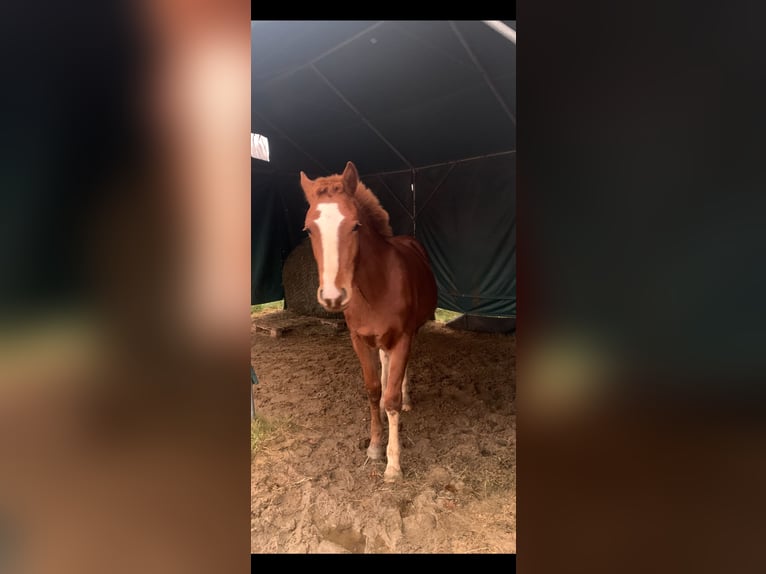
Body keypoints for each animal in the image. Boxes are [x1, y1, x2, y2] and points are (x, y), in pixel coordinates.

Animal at [304, 161, 440, 482]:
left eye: (355, 225)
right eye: (308, 229)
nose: (333, 296)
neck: (377, 287)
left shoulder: (403, 337)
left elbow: (390, 399)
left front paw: (393, 465)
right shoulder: (360, 340)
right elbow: (373, 390)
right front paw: (375, 447)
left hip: (412, 332)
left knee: (401, 372)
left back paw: (406, 397)